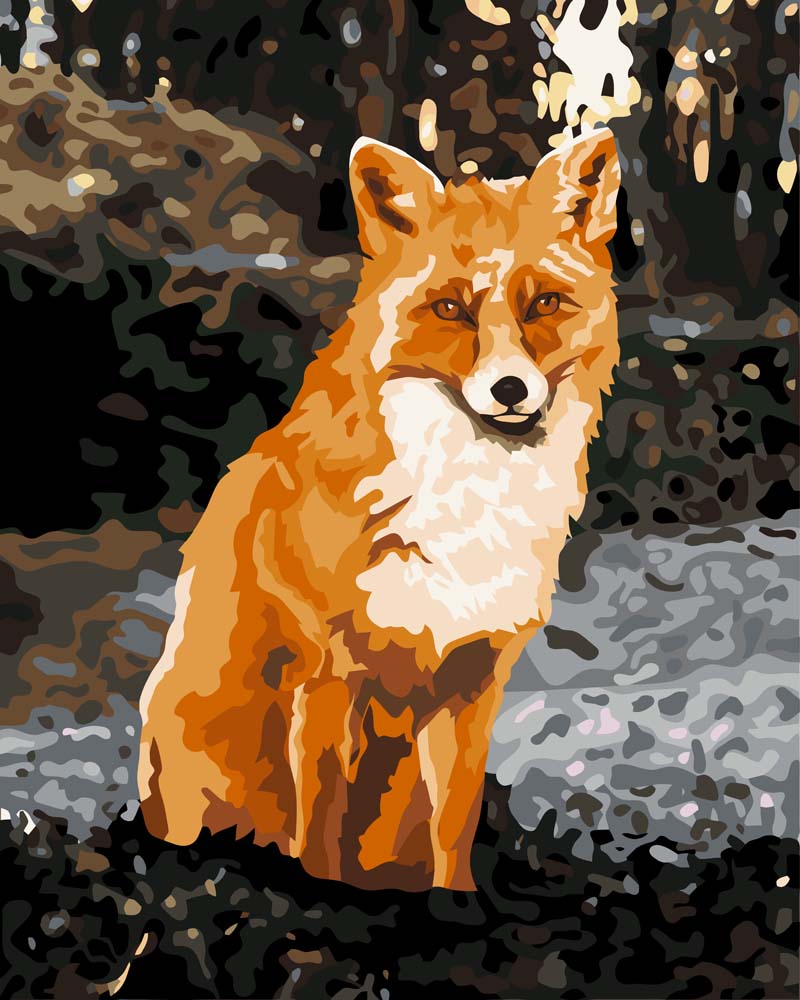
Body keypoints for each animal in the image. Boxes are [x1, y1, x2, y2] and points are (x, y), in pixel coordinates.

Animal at [137, 127, 621, 892]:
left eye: (543, 303)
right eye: (450, 309)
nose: (510, 389)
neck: (464, 504)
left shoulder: (472, 684)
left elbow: (454, 833)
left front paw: (456, 907)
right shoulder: (329, 676)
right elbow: (320, 836)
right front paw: (325, 903)